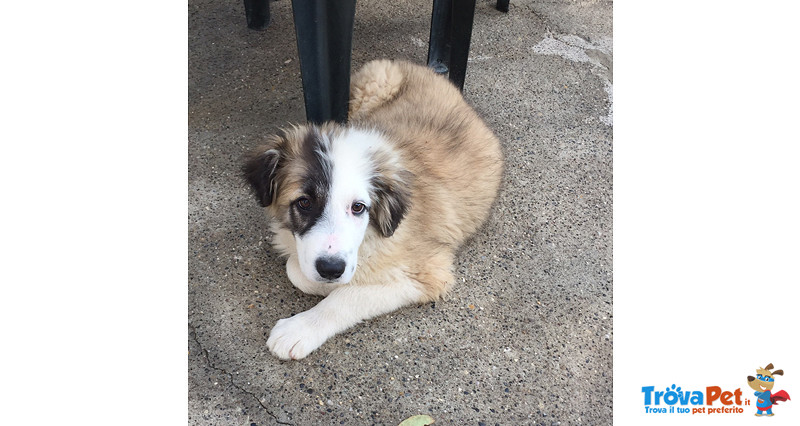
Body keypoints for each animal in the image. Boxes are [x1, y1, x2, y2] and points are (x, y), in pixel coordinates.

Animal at [244, 60, 504, 360]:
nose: (331, 269)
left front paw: (300, 328)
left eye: (358, 207)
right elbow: (296, 269)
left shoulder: (428, 272)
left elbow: (346, 296)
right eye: (304, 203)